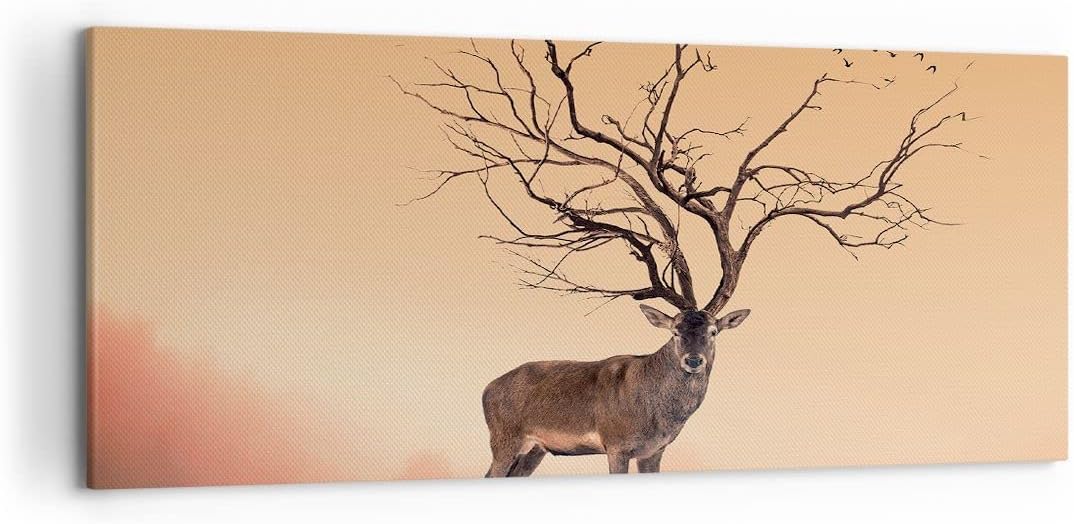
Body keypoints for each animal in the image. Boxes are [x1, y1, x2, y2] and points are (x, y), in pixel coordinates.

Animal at [481, 305, 749, 476]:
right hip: (504, 437)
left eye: (713, 332)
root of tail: (486, 389)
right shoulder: (615, 443)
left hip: (534, 449)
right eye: (675, 332)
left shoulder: (654, 451)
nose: (693, 360)